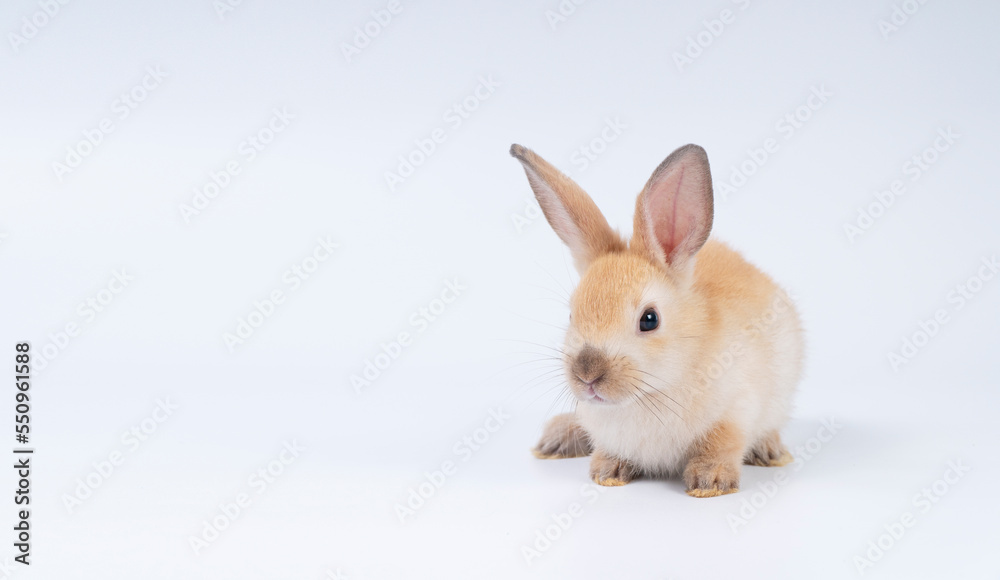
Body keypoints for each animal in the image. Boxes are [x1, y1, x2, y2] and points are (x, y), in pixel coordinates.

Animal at [510, 143, 804, 497]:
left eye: (649, 319)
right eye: (571, 314)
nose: (587, 375)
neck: (651, 392)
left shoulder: (737, 409)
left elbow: (722, 443)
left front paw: (710, 482)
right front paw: (607, 471)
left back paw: (771, 452)